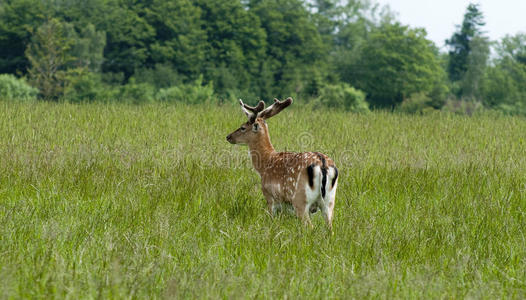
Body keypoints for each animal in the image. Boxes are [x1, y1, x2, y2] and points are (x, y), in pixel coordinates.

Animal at [226, 98, 340, 230]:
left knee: (310, 226)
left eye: (243, 127)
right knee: (330, 228)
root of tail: (322, 164)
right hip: (330, 201)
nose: (228, 136)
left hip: (300, 200)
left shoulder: (270, 197)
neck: (265, 164)